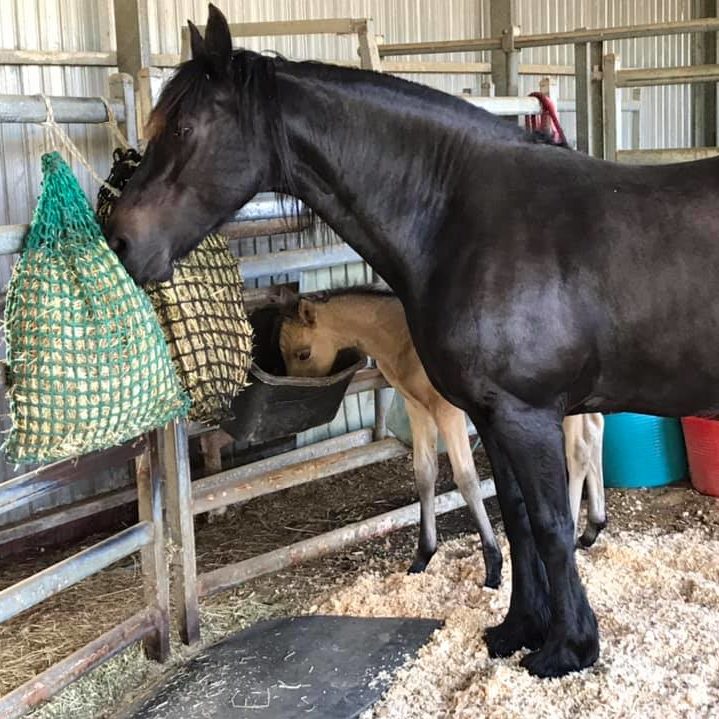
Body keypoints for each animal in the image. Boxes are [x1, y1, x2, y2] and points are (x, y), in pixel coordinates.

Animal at [278, 288, 606, 560]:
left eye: (303, 353)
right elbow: (424, 474)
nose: (297, 397)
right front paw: (424, 555)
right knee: (594, 431)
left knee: (578, 449)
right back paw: (592, 527)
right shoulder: (416, 407)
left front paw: (493, 560)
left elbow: (466, 478)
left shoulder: (446, 410)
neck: (402, 338)